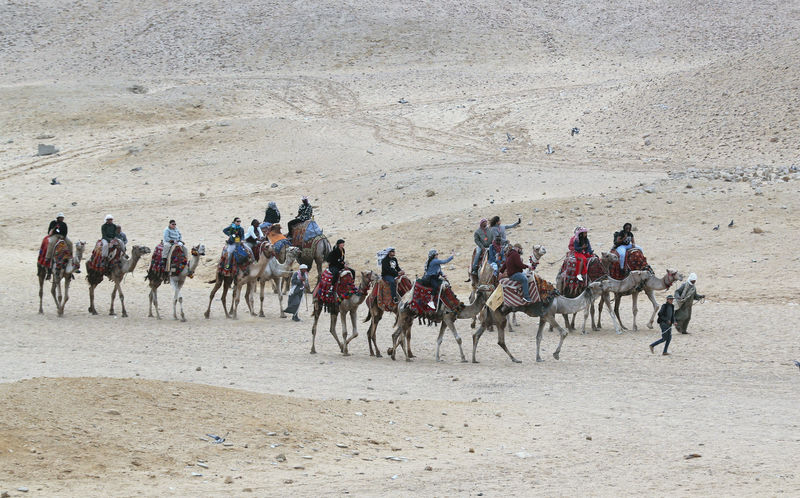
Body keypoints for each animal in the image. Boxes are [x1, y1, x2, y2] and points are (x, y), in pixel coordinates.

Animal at [468, 282, 608, 364]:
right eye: (600, 285)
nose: (607, 286)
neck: (560, 303)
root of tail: (488, 301)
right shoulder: (548, 314)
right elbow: (563, 332)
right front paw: (556, 354)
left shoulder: (543, 317)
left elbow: (538, 337)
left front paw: (539, 358)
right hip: (499, 317)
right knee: (500, 340)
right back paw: (515, 359)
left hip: (489, 319)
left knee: (476, 335)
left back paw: (474, 359)